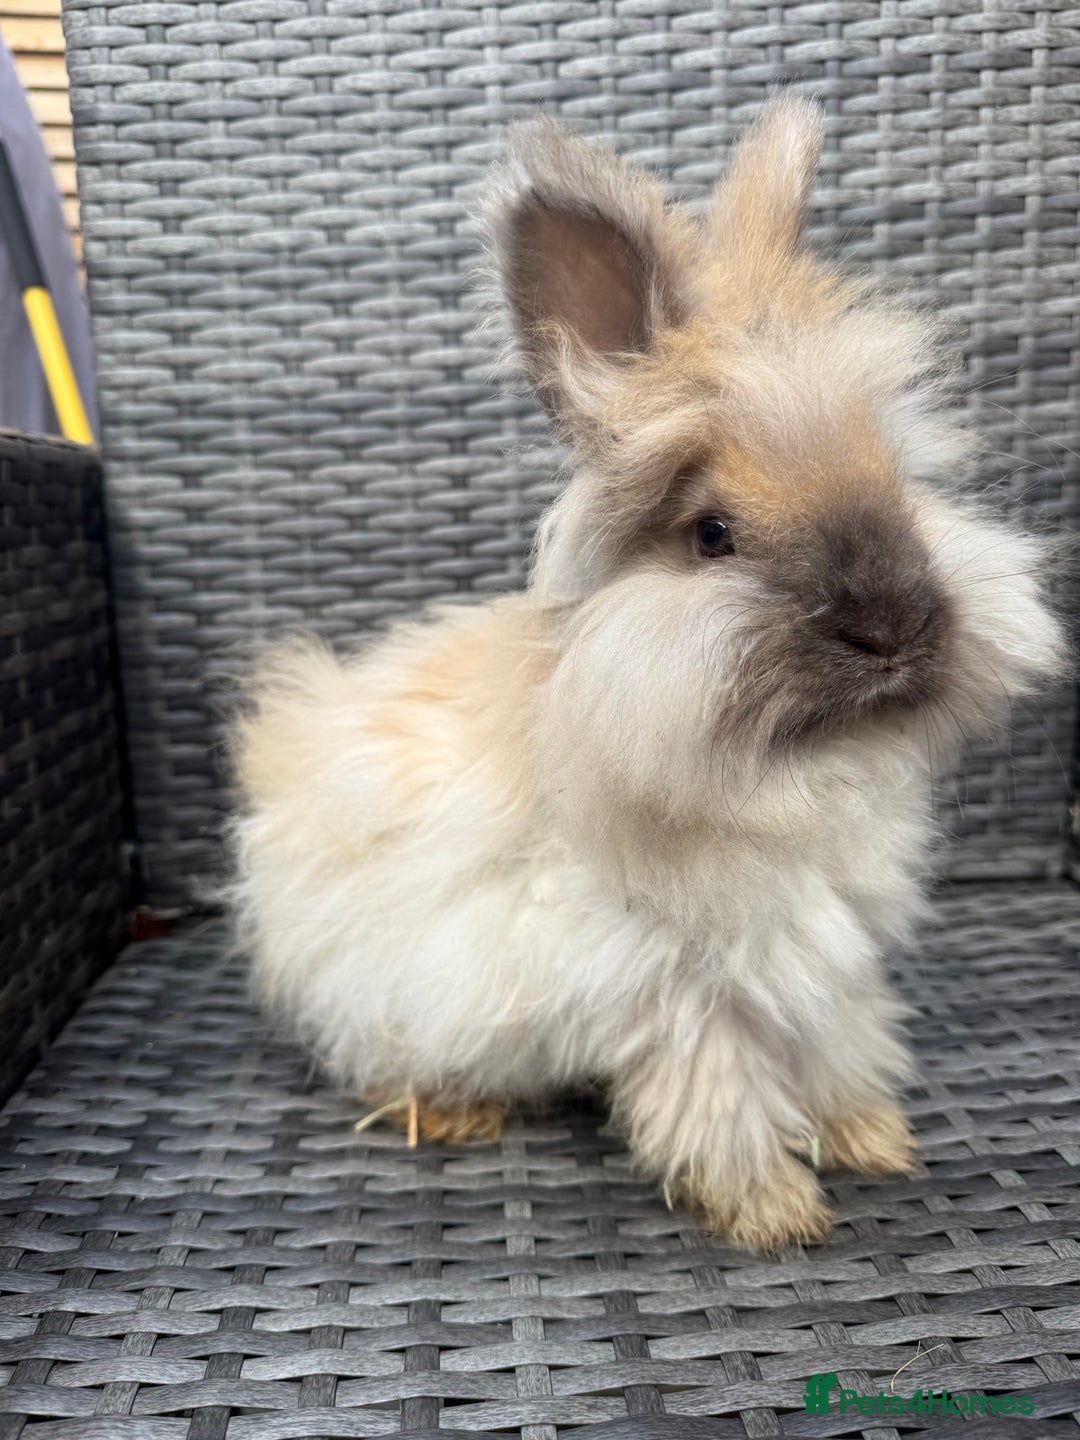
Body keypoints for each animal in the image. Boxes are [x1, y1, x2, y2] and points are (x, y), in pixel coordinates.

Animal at [230, 96, 1065, 1250]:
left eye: (897, 482)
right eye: (712, 534)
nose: (893, 626)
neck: (784, 780)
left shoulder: (823, 958)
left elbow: (840, 1047)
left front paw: (873, 1141)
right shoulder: (679, 989)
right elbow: (721, 1096)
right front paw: (774, 1213)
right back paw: (453, 1113)